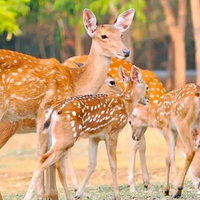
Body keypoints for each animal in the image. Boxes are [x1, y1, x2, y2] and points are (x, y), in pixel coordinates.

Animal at [0, 7, 135, 200]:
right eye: (103, 36)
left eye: (121, 35)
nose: (125, 52)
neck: (74, 82)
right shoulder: (45, 109)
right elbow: (43, 155)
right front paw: (44, 194)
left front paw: (51, 195)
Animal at [23, 65, 148, 200]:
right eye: (147, 87)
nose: (147, 100)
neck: (125, 104)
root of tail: (54, 110)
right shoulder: (112, 132)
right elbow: (113, 163)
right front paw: (117, 195)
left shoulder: (95, 137)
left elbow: (92, 164)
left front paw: (79, 194)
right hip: (65, 138)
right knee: (44, 160)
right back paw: (27, 196)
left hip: (58, 138)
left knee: (59, 166)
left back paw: (69, 197)